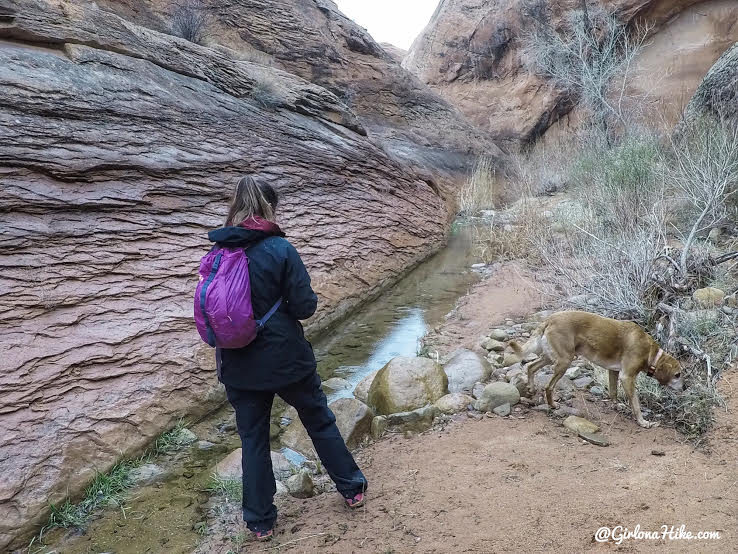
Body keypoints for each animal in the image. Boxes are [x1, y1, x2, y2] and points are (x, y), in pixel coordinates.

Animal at [508, 310, 680, 426]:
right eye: (678, 375)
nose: (684, 388)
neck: (651, 353)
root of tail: (550, 318)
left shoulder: (614, 371)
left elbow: (613, 392)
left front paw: (616, 405)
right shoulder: (627, 377)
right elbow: (636, 403)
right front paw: (642, 421)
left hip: (550, 358)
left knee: (531, 366)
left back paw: (531, 389)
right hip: (564, 361)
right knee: (548, 386)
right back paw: (552, 405)